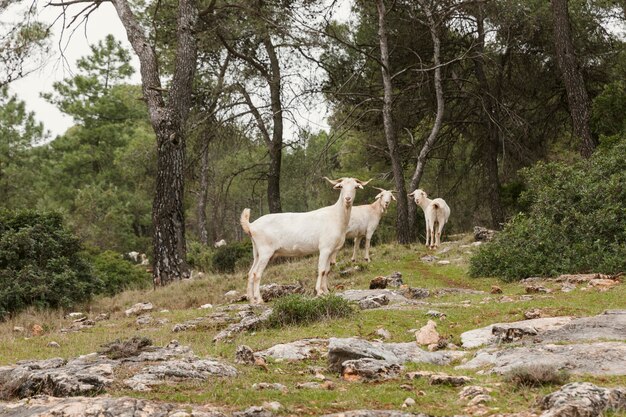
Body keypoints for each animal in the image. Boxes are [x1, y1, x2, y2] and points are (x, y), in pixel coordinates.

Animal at [238, 176, 366, 302]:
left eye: (355, 187)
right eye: (341, 186)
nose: (348, 198)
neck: (336, 216)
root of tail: (251, 226)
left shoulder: (331, 250)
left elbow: (327, 270)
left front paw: (326, 291)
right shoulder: (324, 248)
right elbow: (321, 270)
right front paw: (319, 292)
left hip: (257, 252)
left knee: (250, 273)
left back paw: (251, 299)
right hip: (265, 252)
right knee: (256, 273)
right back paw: (259, 299)